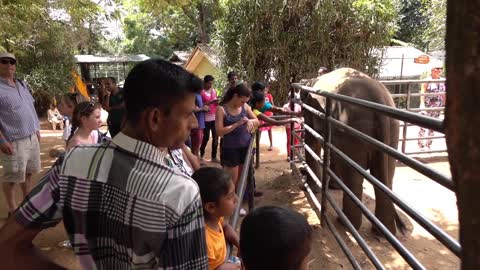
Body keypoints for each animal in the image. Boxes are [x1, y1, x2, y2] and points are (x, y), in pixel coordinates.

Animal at [302, 67, 404, 234]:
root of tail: (378, 98)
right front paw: (333, 187)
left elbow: (312, 142)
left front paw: (311, 188)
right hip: (391, 131)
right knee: (385, 178)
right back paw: (382, 231)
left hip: (350, 130)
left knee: (353, 178)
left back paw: (344, 222)